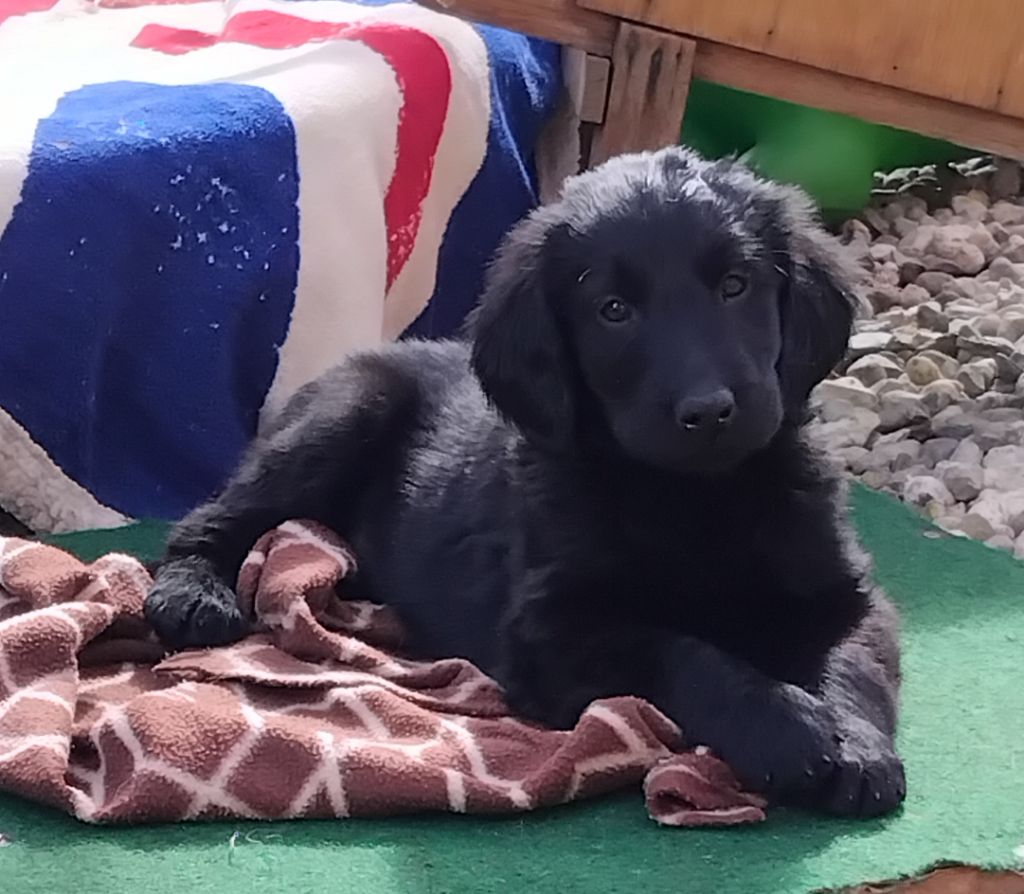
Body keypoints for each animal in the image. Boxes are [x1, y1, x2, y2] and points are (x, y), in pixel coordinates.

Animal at [145, 147, 905, 817]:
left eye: (735, 285)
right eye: (613, 309)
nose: (710, 410)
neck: (696, 496)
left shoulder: (844, 593)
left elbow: (853, 663)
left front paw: (858, 747)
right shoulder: (550, 634)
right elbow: (679, 649)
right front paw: (786, 727)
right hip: (343, 415)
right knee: (211, 519)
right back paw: (192, 593)